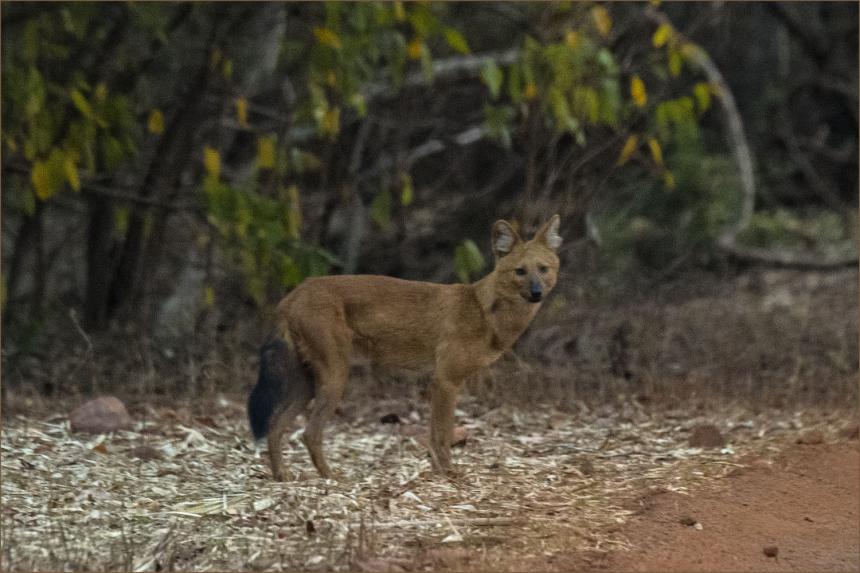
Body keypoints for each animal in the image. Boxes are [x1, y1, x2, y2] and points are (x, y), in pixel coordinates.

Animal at [247, 214, 564, 478]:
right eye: (520, 271)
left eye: (543, 269)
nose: (536, 292)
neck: (485, 310)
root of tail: (295, 292)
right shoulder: (445, 379)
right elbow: (442, 434)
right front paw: (448, 474)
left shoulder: (442, 380)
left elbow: (434, 433)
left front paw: (437, 472)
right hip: (335, 376)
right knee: (308, 433)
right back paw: (332, 478)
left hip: (308, 382)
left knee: (275, 427)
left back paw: (283, 477)